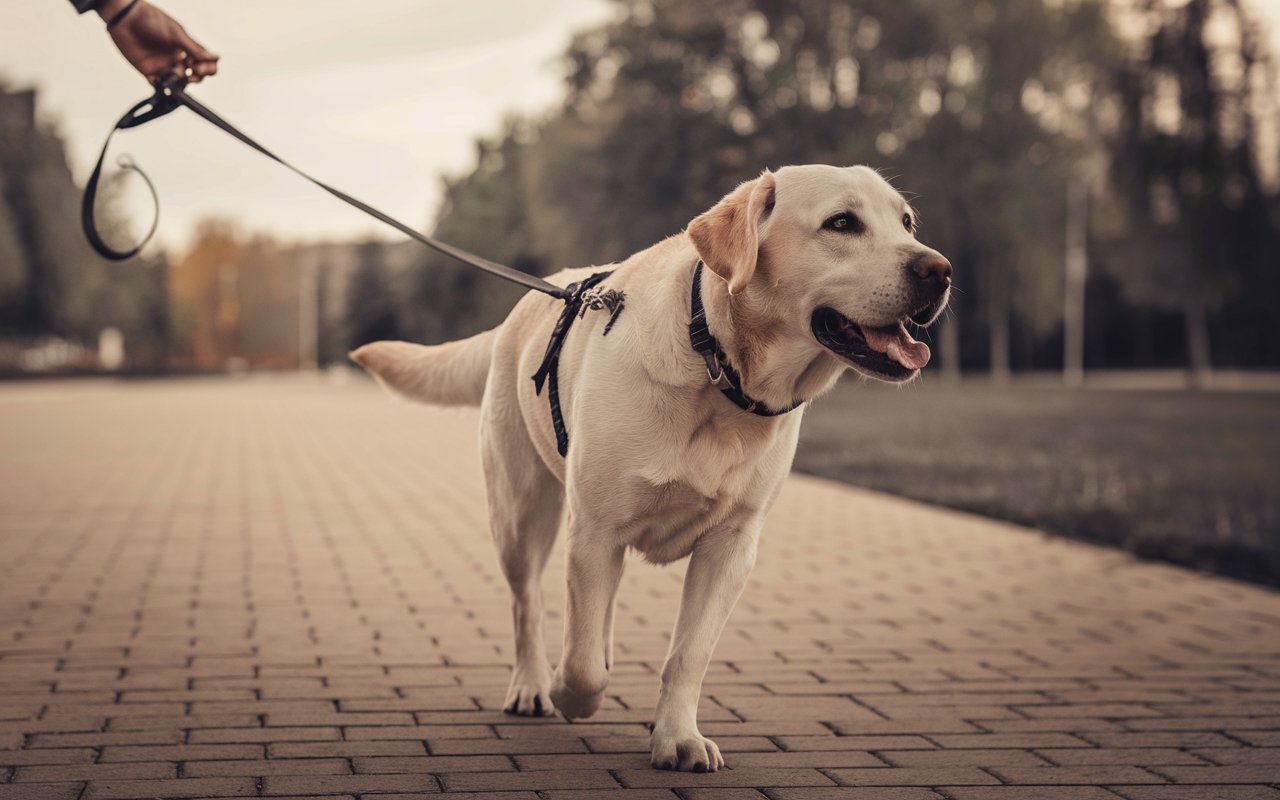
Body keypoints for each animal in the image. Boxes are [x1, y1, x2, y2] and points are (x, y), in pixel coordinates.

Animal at [353, 165, 952, 773]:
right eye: (842, 223)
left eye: (906, 222)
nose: (940, 271)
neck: (718, 370)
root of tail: (525, 306)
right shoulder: (594, 531)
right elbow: (581, 663)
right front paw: (572, 694)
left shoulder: (731, 546)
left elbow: (688, 655)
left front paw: (678, 738)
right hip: (521, 513)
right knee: (530, 605)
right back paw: (532, 686)